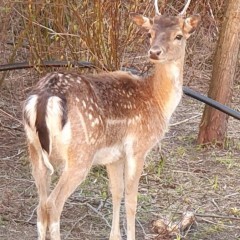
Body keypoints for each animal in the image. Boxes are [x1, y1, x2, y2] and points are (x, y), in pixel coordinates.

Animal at [22, 0, 200, 239]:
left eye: (179, 35)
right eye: (150, 33)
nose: (154, 52)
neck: (157, 101)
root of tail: (43, 98)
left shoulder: (114, 155)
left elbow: (116, 192)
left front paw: (114, 235)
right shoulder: (138, 147)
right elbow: (132, 200)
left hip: (34, 149)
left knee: (41, 206)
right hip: (81, 153)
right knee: (53, 204)